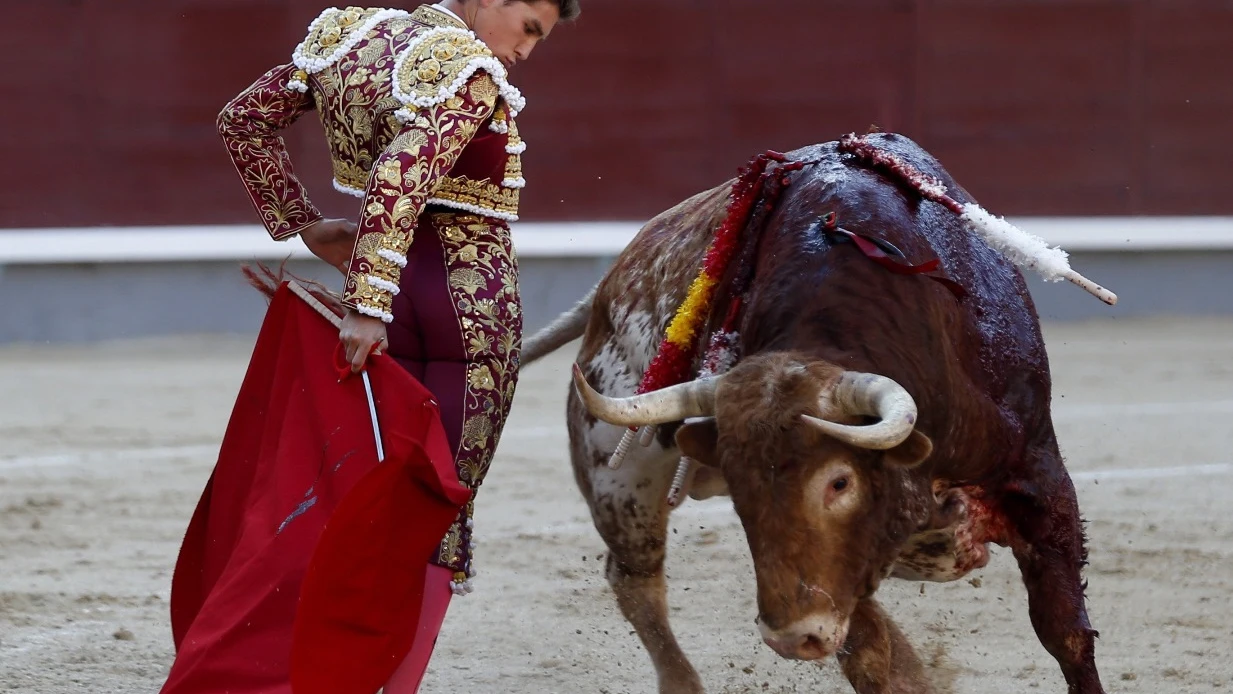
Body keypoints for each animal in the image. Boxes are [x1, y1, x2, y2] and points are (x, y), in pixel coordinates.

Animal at [522, 131, 1109, 694]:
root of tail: (612, 281)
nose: (788, 637)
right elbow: (868, 654)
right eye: (740, 488)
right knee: (634, 578)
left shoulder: (1039, 473)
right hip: (618, 482)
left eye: (839, 482)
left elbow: (1065, 634)